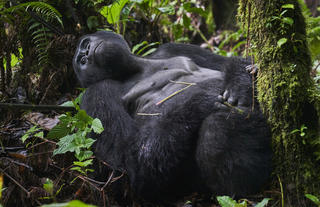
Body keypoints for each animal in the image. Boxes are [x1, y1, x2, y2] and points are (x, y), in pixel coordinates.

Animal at [73, 30, 272, 202]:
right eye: (81, 61)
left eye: (85, 44)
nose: (86, 54)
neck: (136, 68)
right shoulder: (96, 93)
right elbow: (132, 165)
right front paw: (202, 98)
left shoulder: (174, 48)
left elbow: (233, 62)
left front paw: (239, 80)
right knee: (216, 129)